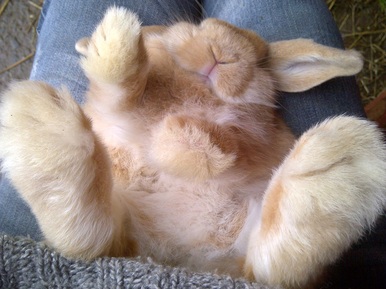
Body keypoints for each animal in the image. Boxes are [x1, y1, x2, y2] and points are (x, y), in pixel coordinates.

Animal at [0, 6, 386, 288]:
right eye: (197, 25)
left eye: (260, 60)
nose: (223, 54)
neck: (195, 93)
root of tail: (178, 259)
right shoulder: (115, 113)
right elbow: (120, 93)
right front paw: (116, 43)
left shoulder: (251, 134)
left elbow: (230, 140)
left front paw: (186, 142)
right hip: (121, 238)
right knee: (92, 239)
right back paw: (44, 126)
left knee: (269, 268)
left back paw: (340, 162)